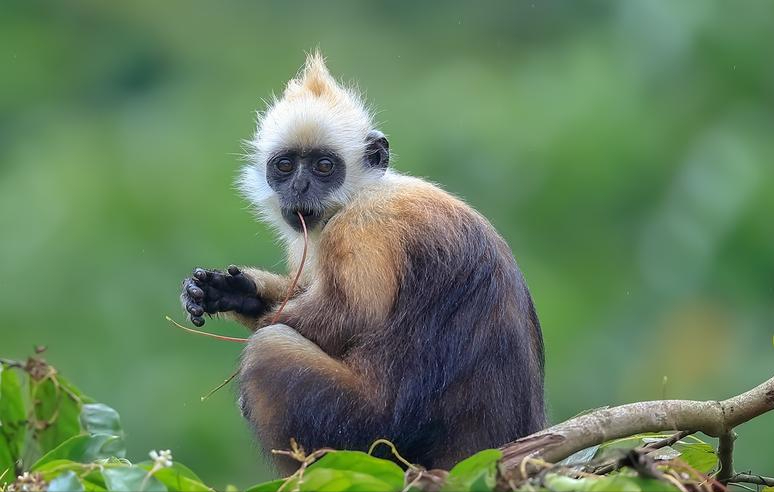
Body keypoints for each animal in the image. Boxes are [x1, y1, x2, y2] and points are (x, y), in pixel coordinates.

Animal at [180, 52, 544, 474]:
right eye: (285, 166)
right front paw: (231, 292)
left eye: (323, 167)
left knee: (268, 349)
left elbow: (348, 318)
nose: (299, 188)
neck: (360, 194)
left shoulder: (360, 228)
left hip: (366, 436)